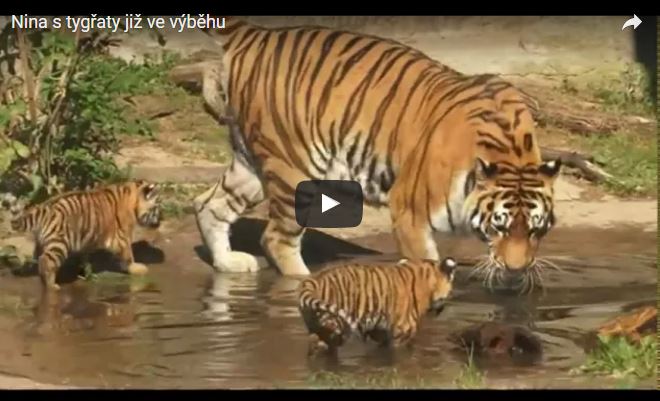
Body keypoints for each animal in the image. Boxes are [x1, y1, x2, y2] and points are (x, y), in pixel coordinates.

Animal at [9, 180, 162, 291]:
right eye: (157, 208)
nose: (161, 221)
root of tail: (44, 207)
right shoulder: (122, 238)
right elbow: (129, 256)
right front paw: (138, 268)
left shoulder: (87, 238)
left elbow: (85, 256)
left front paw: (86, 272)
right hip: (59, 244)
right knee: (46, 261)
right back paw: (52, 286)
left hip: (43, 243)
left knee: (38, 259)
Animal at [194, 18, 562, 291]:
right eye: (499, 226)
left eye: (534, 230)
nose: (515, 269)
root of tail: (256, 32)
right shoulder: (409, 212)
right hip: (293, 169)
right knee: (275, 239)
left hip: (253, 164)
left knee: (208, 205)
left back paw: (230, 262)